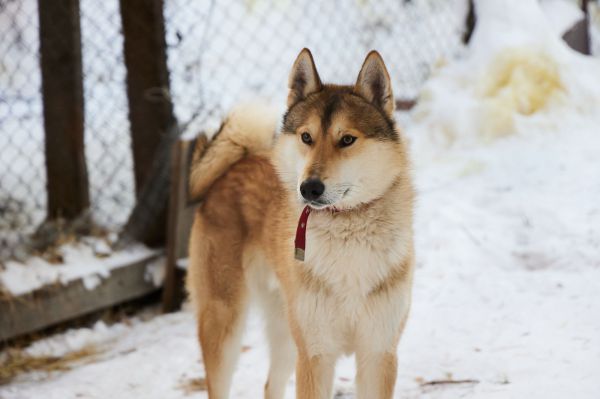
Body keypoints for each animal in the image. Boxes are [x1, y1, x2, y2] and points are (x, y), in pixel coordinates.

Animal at [186, 48, 412, 398]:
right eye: (307, 137)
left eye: (347, 139)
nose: (309, 188)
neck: (347, 231)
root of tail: (234, 166)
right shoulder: (315, 354)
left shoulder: (378, 353)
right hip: (226, 325)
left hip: (286, 330)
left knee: (270, 386)